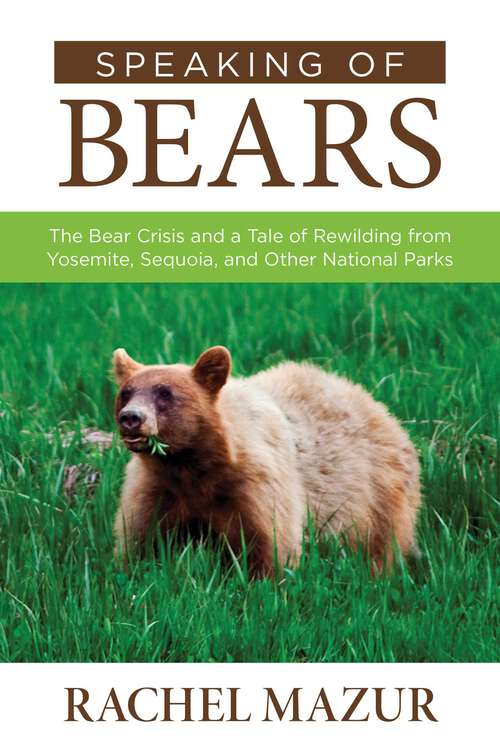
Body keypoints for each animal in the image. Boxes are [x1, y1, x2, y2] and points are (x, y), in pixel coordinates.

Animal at [112, 346, 420, 575]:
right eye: (126, 392)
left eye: (165, 393)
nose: (131, 417)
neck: (192, 466)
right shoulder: (155, 489)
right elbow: (140, 541)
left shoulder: (255, 488)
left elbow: (270, 545)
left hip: (379, 498)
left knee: (380, 548)